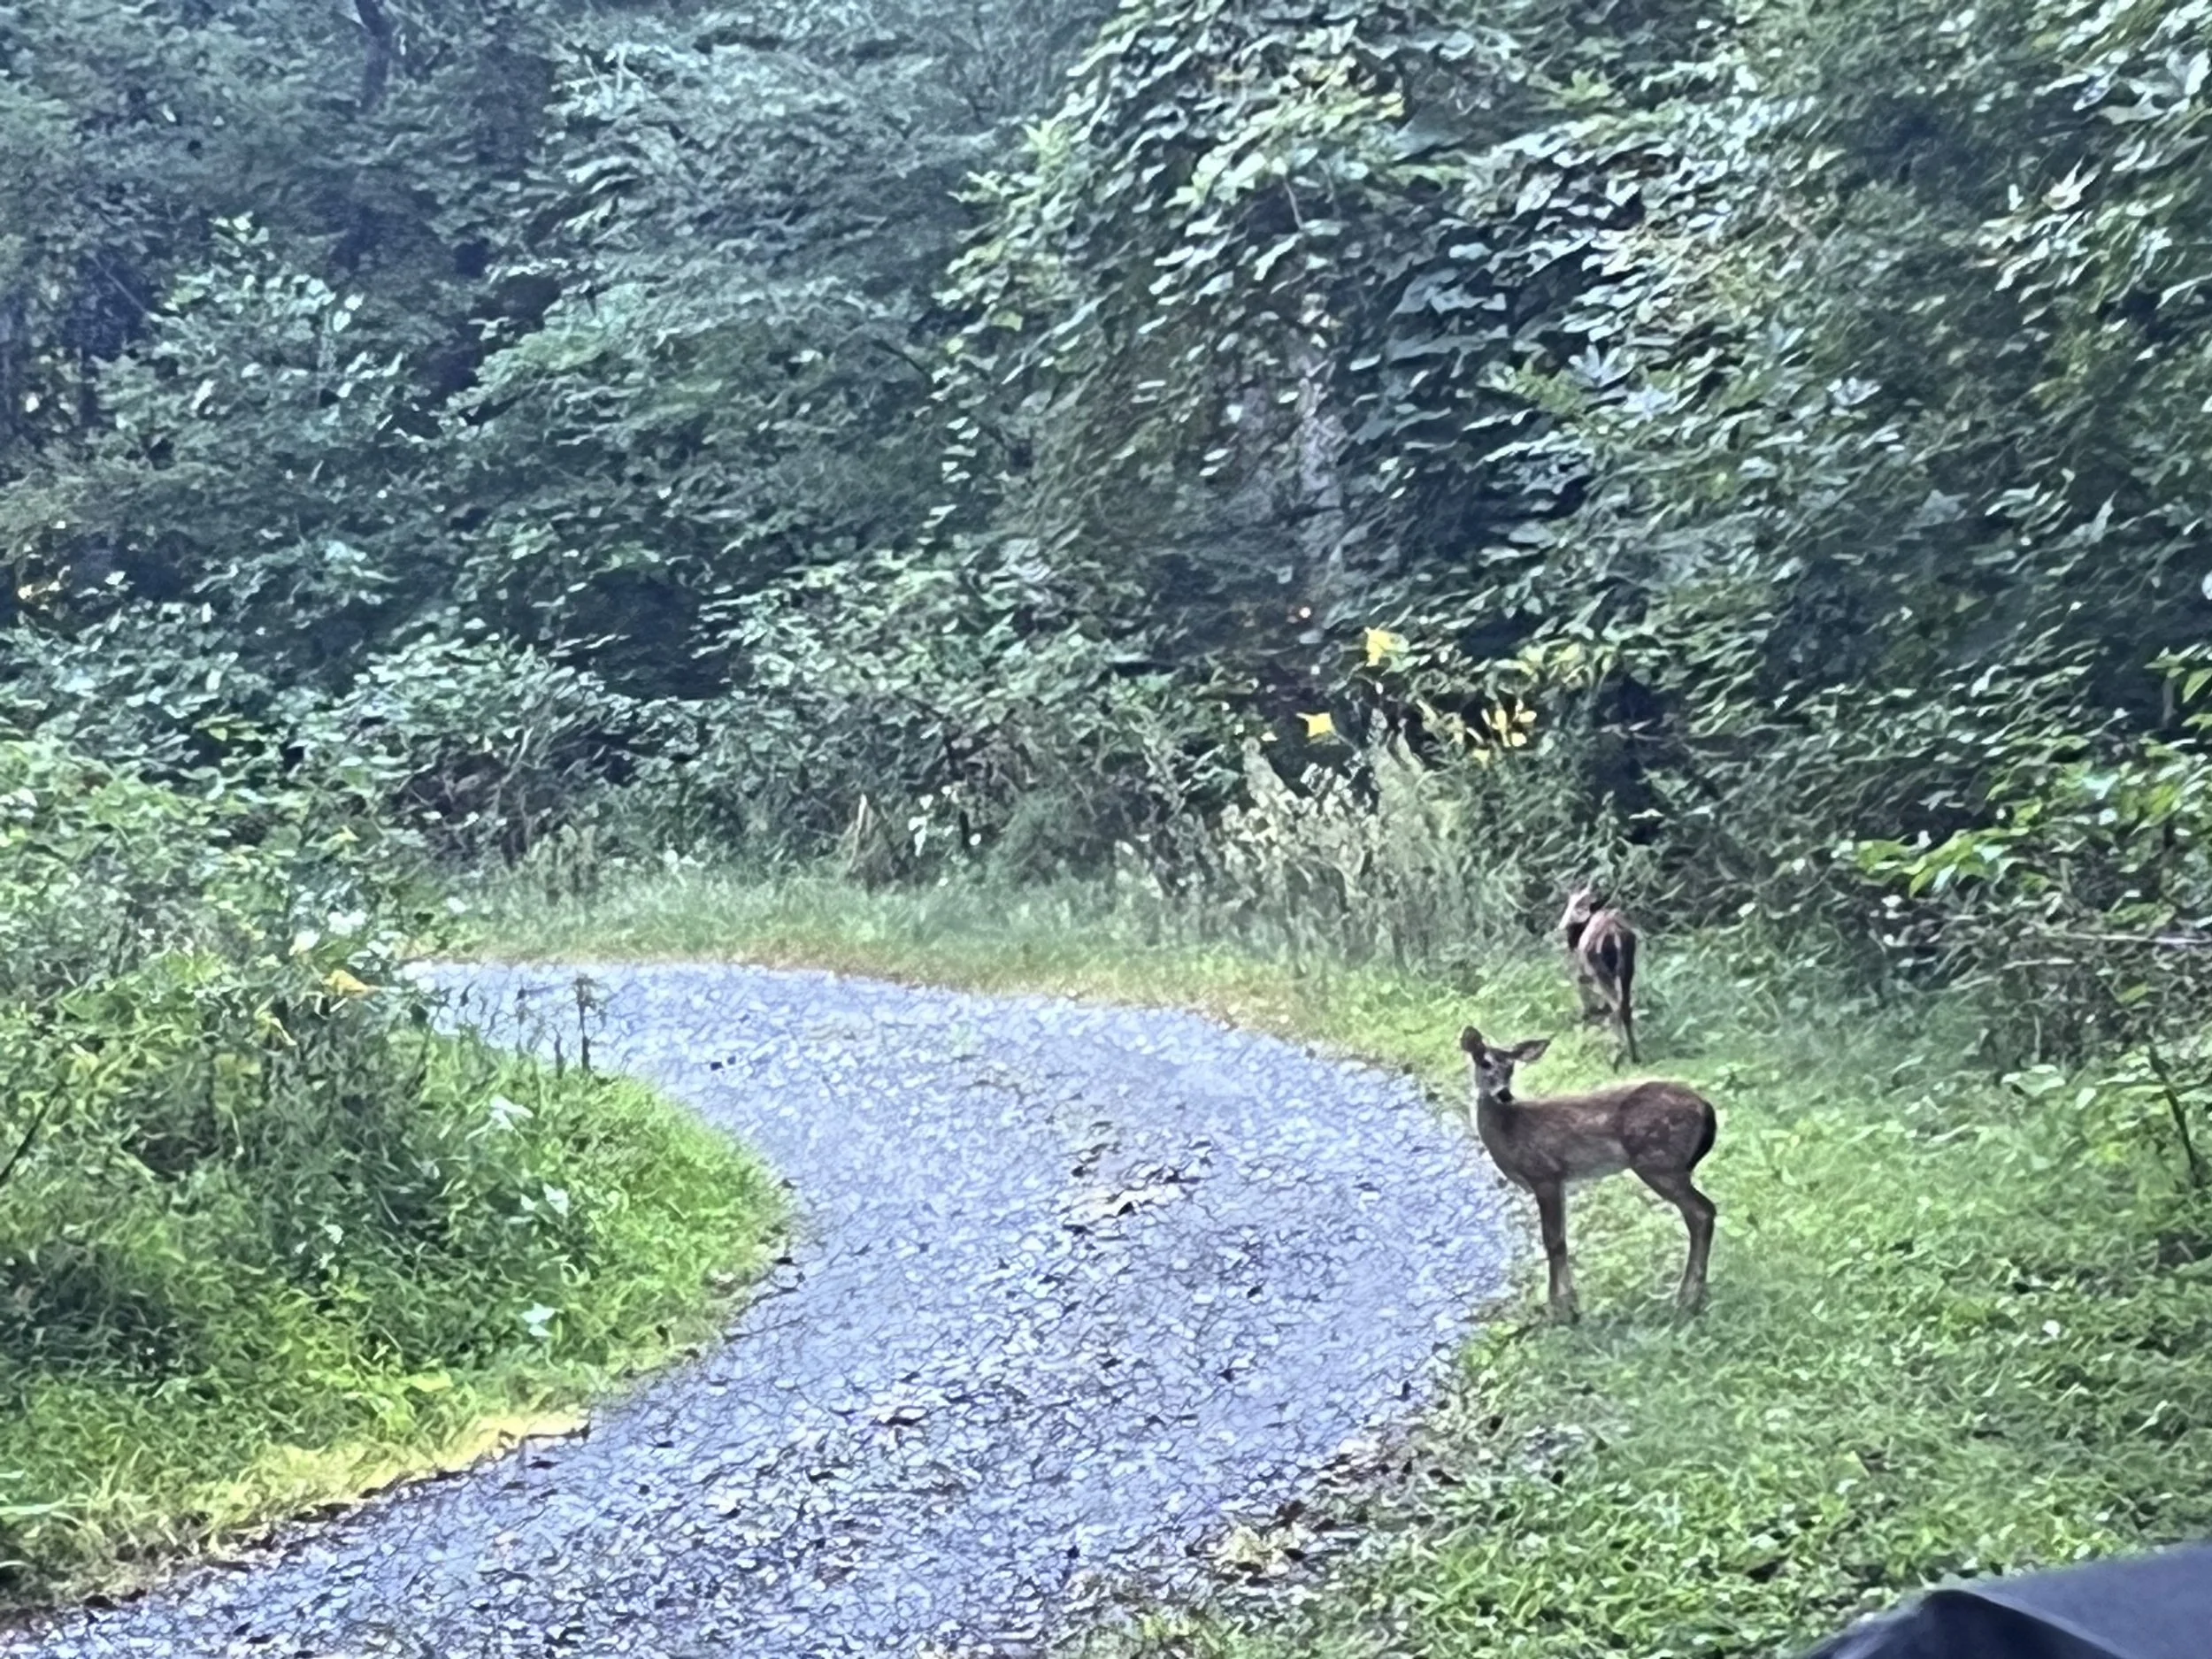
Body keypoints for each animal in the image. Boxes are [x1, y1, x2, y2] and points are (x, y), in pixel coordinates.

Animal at [1459, 1025, 1716, 1322]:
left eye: (1511, 1067)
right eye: (1484, 1062)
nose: (1504, 1094)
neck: (1509, 1132)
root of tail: (1706, 1107)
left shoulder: (1544, 1174)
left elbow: (1554, 1241)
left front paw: (1562, 1310)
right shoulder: (1559, 1181)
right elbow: (1560, 1239)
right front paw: (1568, 1305)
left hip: (1658, 1161)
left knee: (1701, 1212)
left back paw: (1686, 1299)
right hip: (1668, 1164)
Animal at [1560, 885, 1639, 1066]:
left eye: (1576, 904)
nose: (1562, 926)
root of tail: (1614, 933)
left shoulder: (1582, 974)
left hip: (1600, 971)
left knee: (1616, 1006)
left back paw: (1615, 1054)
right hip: (1626, 971)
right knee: (1625, 1006)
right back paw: (1634, 1056)